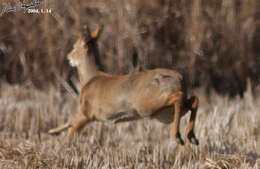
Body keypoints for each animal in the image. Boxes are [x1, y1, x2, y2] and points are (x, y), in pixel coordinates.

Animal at [48, 27, 199, 146]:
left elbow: (70, 131)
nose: (68, 57)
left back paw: (178, 137)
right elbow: (69, 122)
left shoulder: (87, 112)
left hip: (147, 105)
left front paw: (59, 146)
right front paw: (52, 131)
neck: (90, 78)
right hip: (164, 112)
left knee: (180, 97)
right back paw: (191, 137)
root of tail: (179, 79)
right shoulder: (87, 114)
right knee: (193, 101)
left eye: (74, 46)